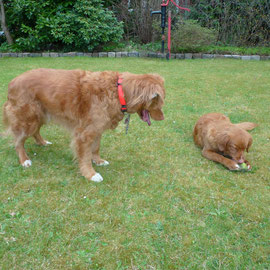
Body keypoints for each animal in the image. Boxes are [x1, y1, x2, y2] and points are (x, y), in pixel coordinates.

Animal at [3, 68, 166, 181]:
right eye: (158, 102)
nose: (163, 118)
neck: (119, 90)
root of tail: (13, 82)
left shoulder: (97, 128)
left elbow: (96, 147)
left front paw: (98, 161)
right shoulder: (85, 133)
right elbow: (85, 155)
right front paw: (90, 174)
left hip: (41, 114)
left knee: (35, 131)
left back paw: (42, 142)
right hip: (28, 119)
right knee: (18, 141)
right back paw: (24, 160)